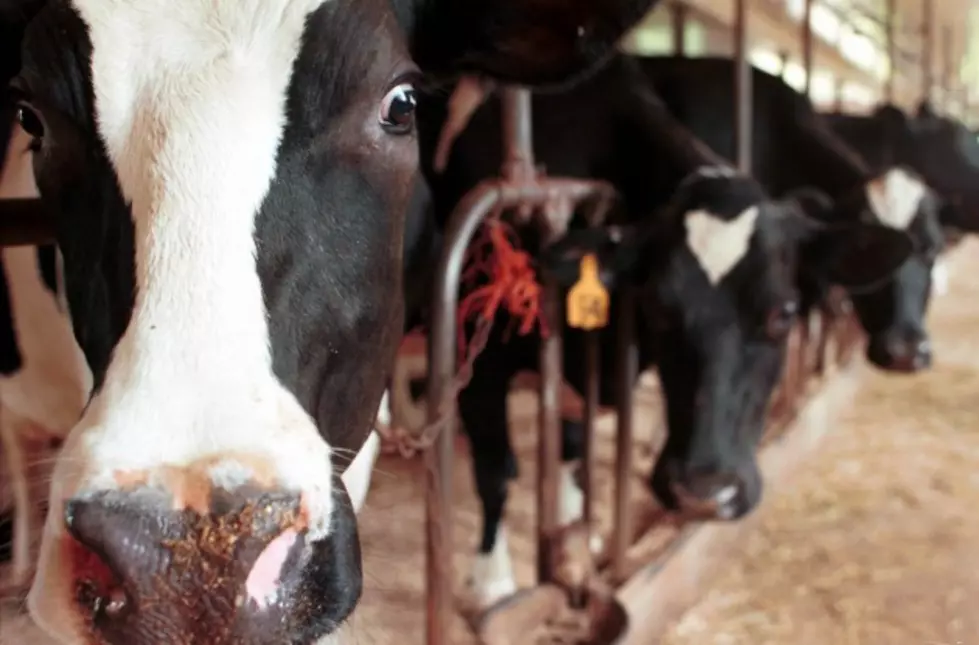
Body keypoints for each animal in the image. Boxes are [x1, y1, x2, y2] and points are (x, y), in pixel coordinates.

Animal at [406, 55, 912, 608]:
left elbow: (569, 445)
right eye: (657, 306)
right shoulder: (474, 354)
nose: (705, 493)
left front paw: (575, 531)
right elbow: (497, 469)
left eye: (783, 313)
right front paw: (492, 582)